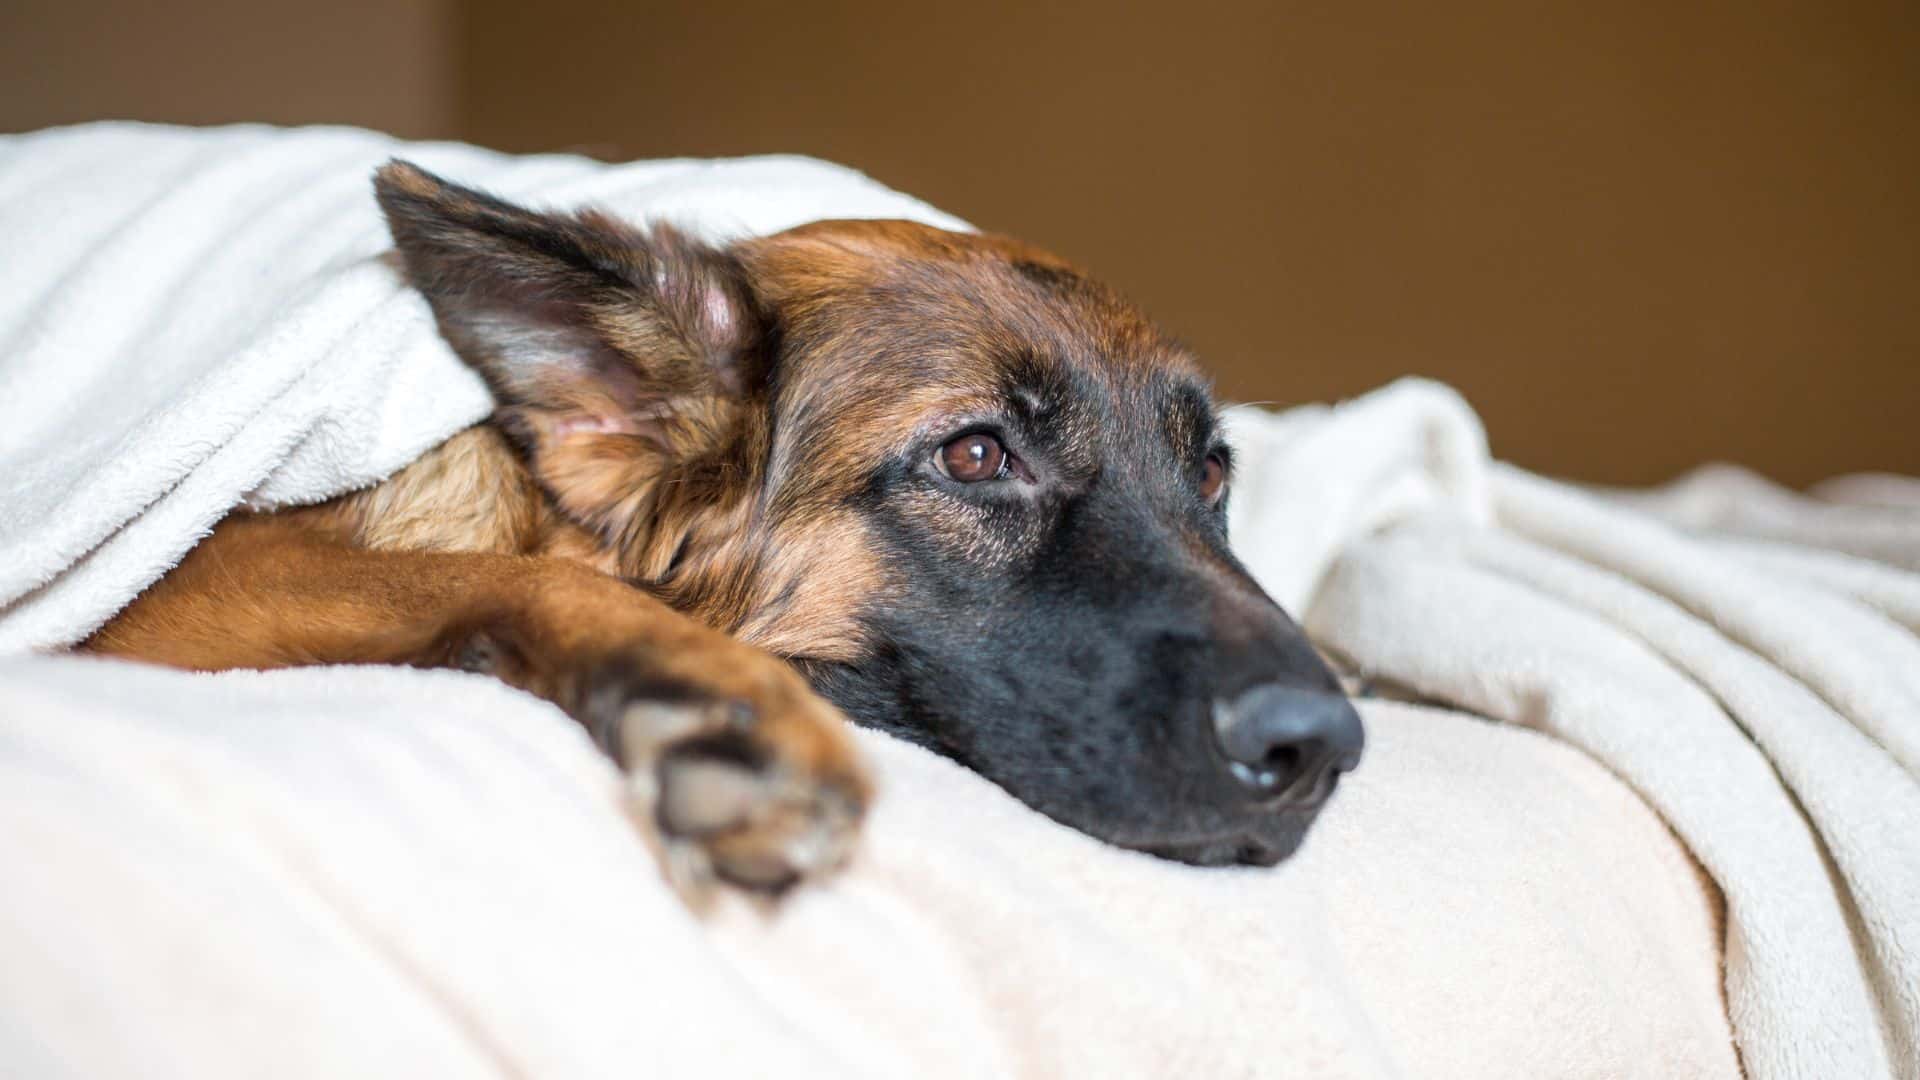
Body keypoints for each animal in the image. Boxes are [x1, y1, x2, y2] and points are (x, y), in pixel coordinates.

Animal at [86, 161, 1367, 891]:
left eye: (1212, 470)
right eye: (975, 456)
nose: (1321, 750)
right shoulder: (187, 583)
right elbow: (518, 582)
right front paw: (718, 704)